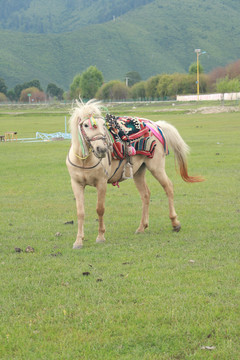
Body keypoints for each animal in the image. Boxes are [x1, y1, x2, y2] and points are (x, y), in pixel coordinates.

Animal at [66, 100, 203, 249]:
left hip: (156, 168)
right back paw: (142, 227)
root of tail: (155, 124)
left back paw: (175, 223)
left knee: (168, 187)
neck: (84, 161)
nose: (101, 149)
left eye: (103, 124)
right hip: (138, 172)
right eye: (86, 125)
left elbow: (100, 209)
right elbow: (80, 212)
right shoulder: (76, 184)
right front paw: (78, 241)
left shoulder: (101, 183)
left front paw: (101, 237)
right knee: (145, 195)